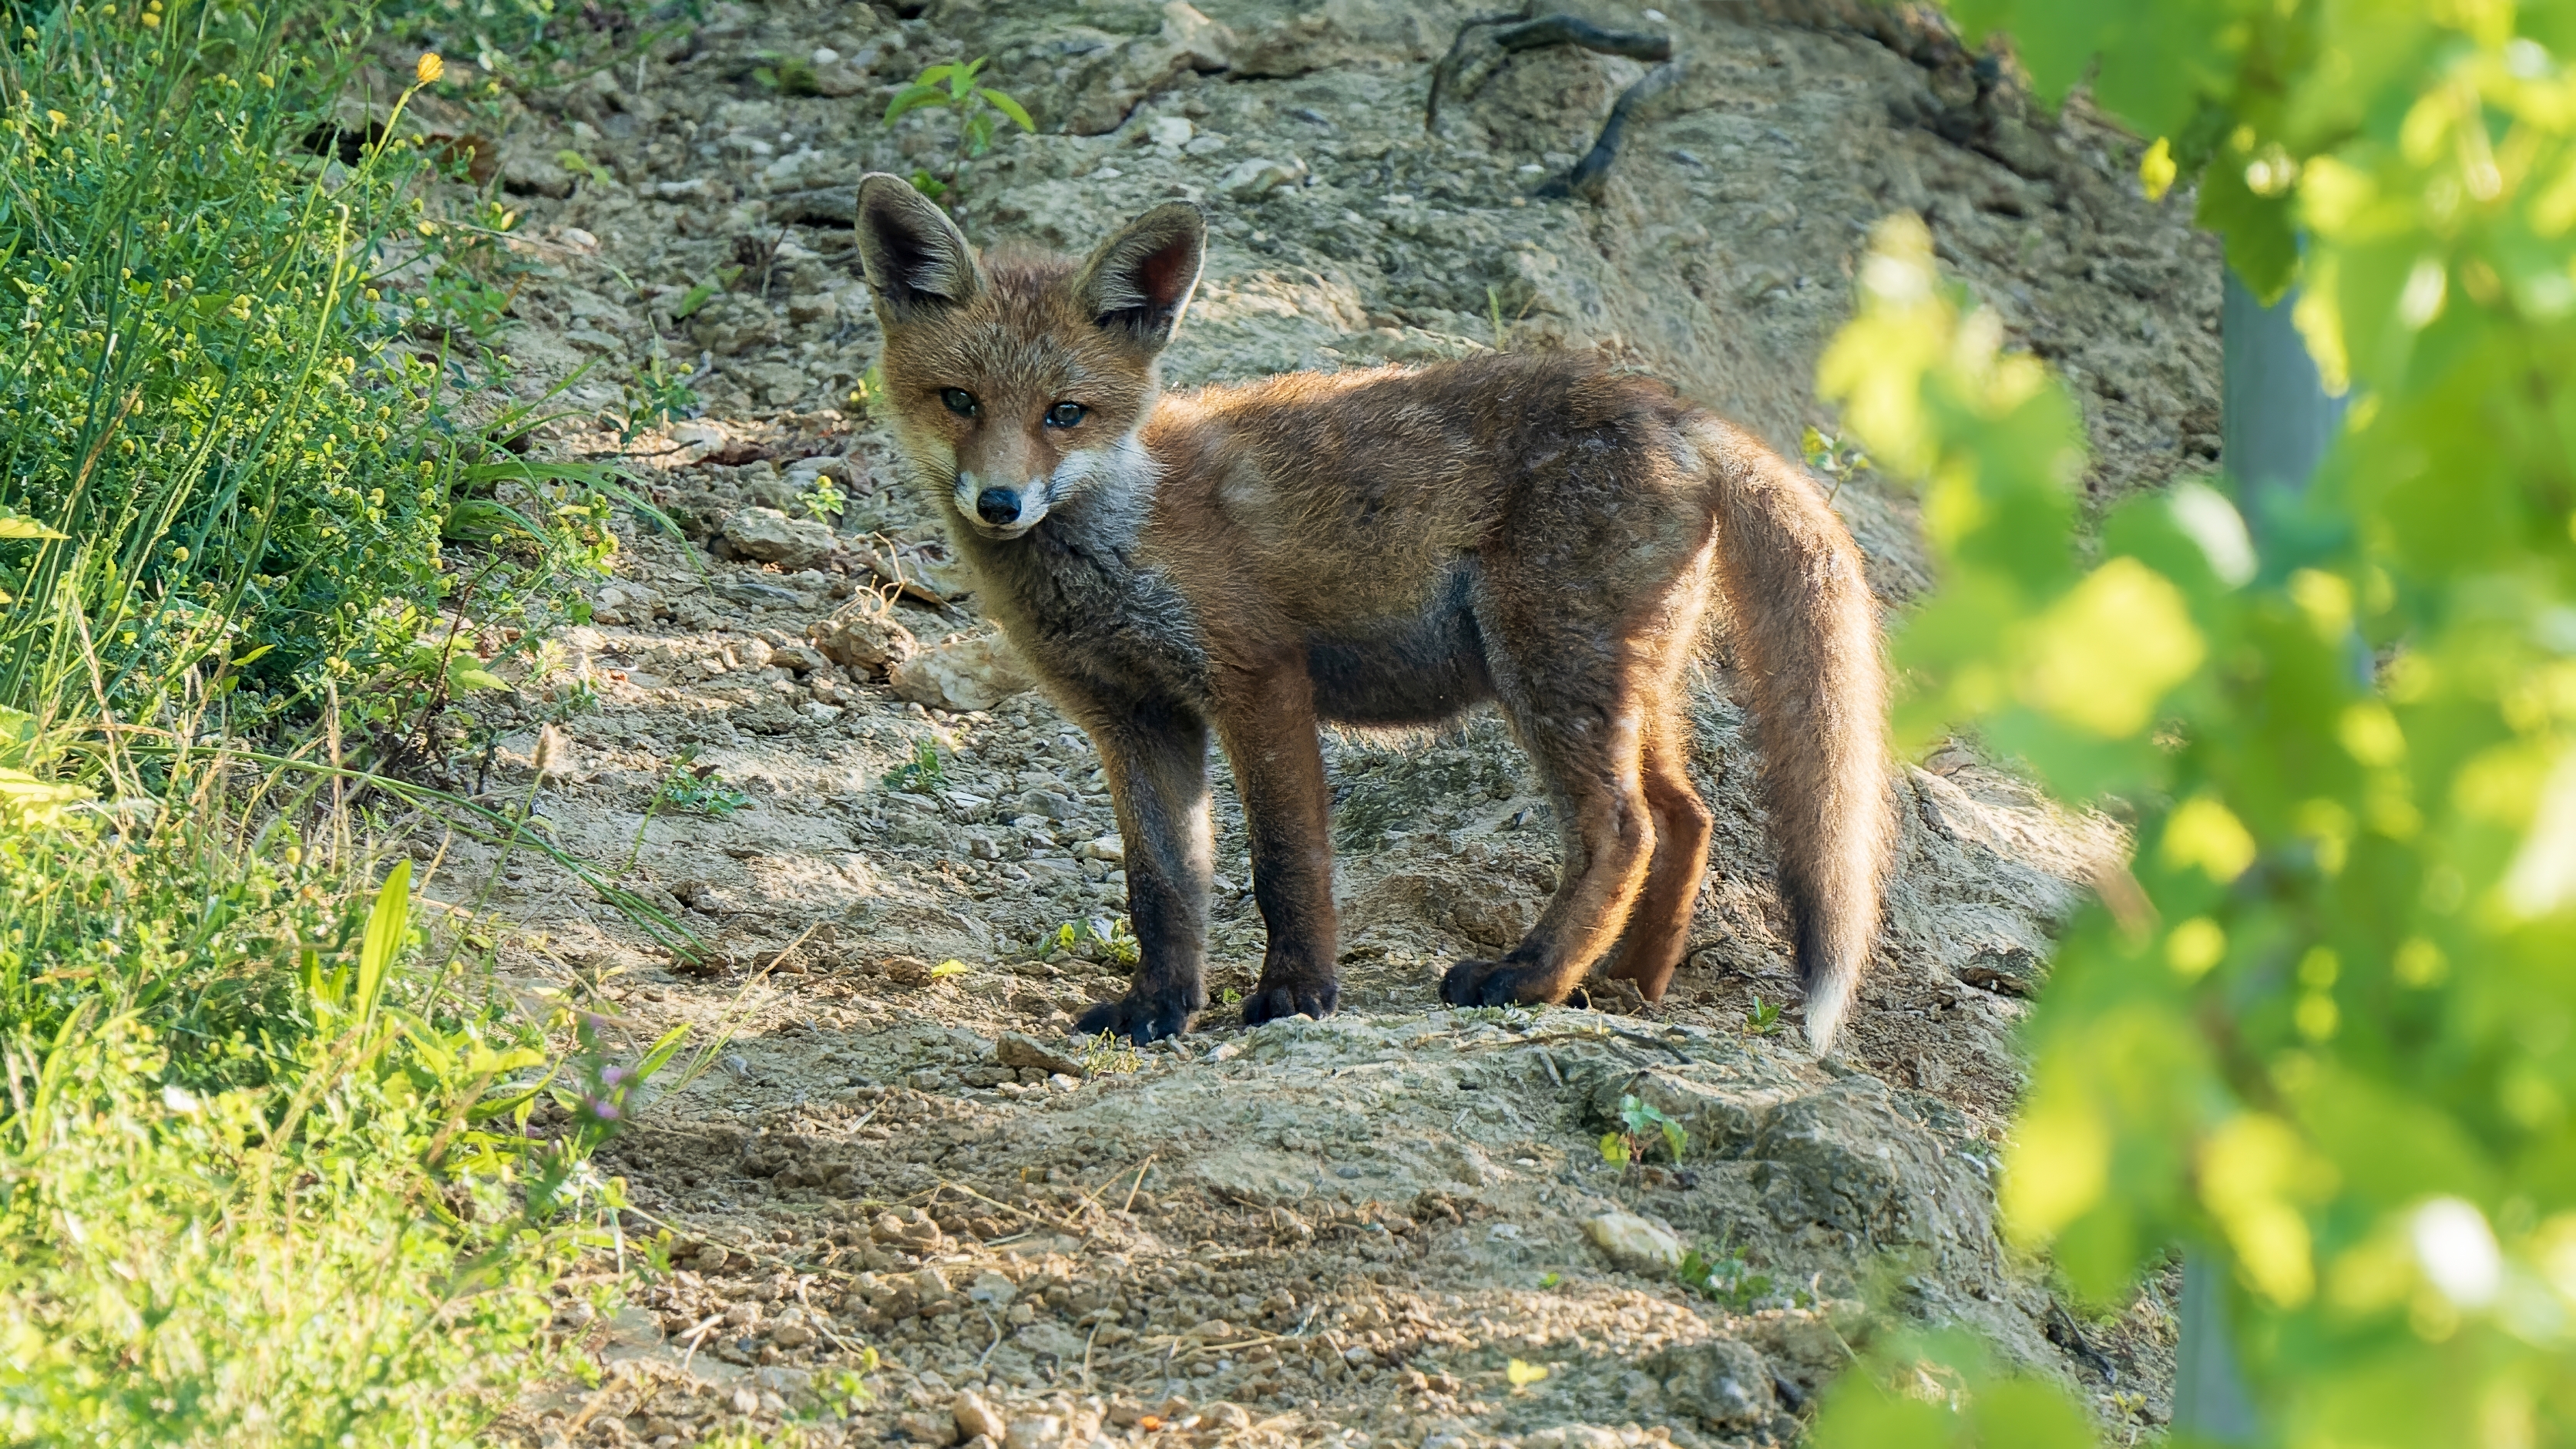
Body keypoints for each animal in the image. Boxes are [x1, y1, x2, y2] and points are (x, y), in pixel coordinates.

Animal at [855, 175, 1886, 1041]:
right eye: (958, 400)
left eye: (1064, 413)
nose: (999, 503)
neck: (1123, 532)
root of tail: (1676, 410)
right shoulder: (1135, 718)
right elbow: (1162, 886)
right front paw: (1158, 1006)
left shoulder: (1258, 677)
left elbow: (1285, 864)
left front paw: (1295, 994)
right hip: (1626, 682)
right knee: (1688, 816)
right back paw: (1624, 984)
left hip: (1545, 669)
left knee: (1621, 828)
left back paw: (1530, 978)